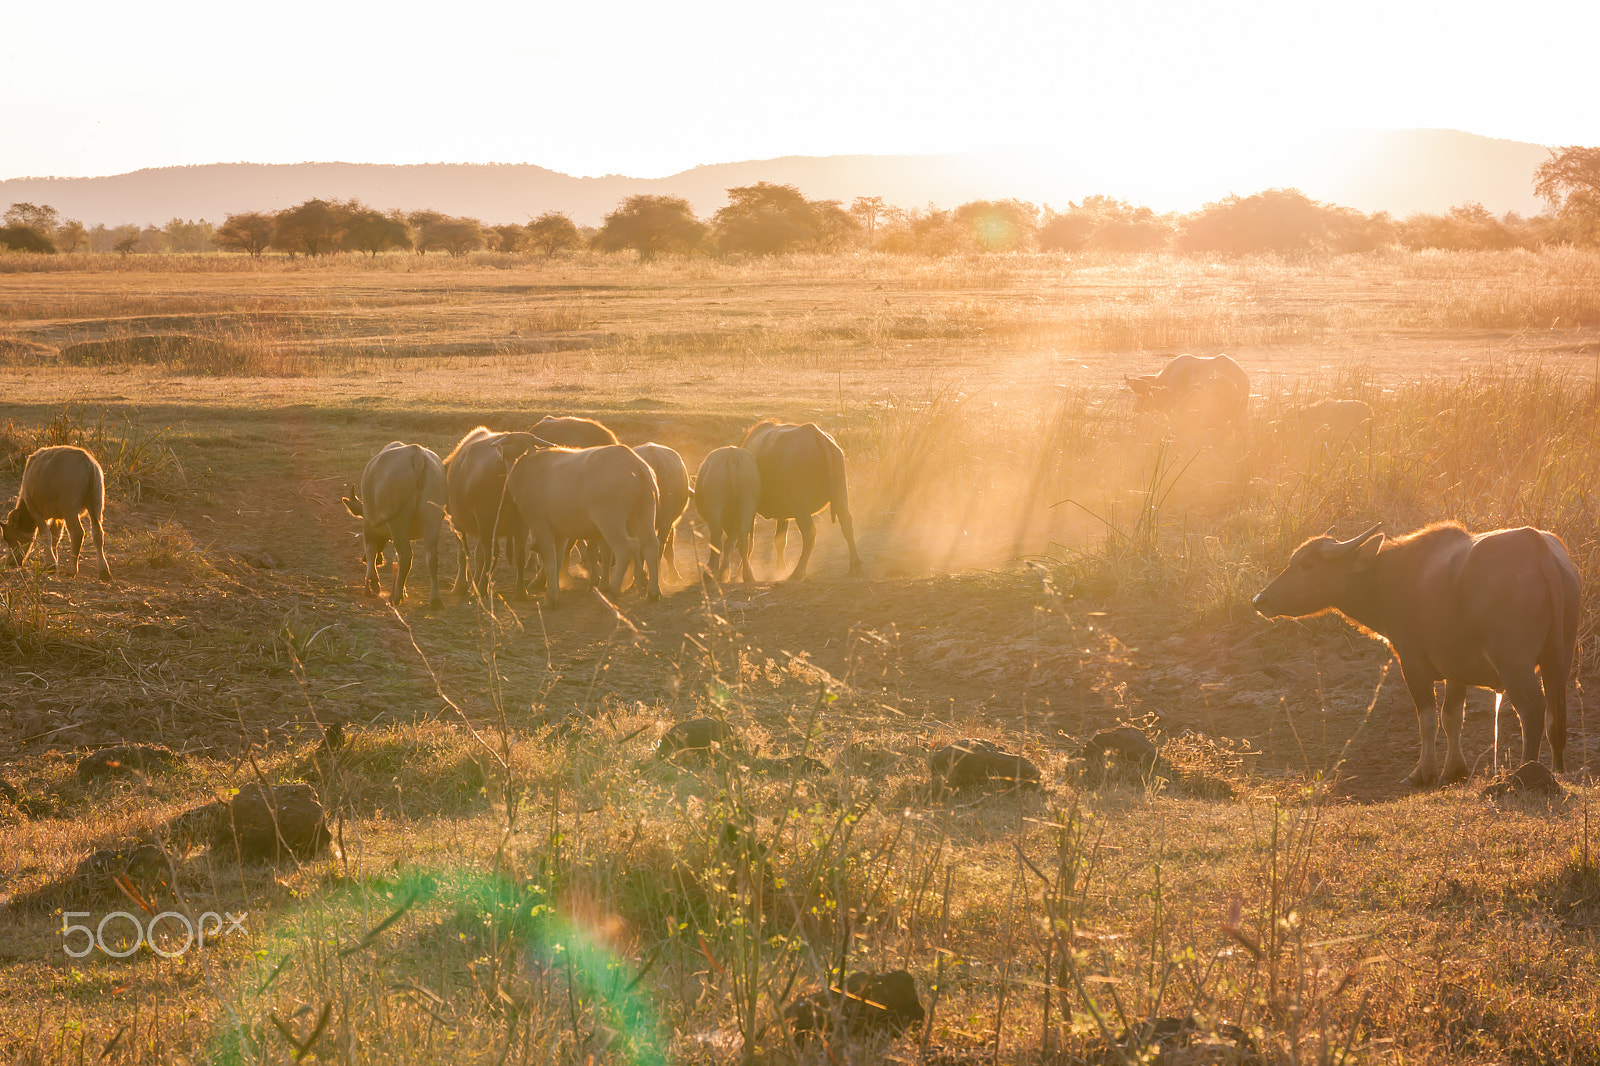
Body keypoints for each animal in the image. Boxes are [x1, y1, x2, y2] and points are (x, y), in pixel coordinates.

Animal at [1254, 522, 1580, 785]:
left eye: (1308, 564)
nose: (1260, 600)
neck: (1393, 578)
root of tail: (1538, 550)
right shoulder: (1456, 669)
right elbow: (1452, 717)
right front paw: (1454, 770)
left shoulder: (1412, 665)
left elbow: (1427, 720)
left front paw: (1422, 773)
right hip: (1559, 659)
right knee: (1556, 714)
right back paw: (1557, 771)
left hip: (1514, 664)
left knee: (1533, 709)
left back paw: (1525, 772)